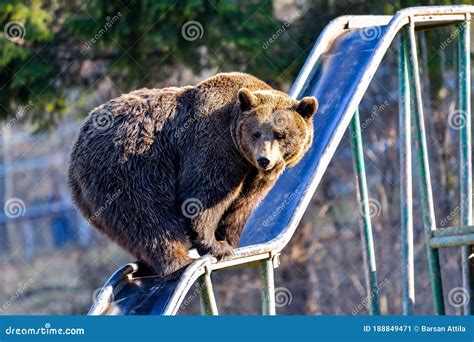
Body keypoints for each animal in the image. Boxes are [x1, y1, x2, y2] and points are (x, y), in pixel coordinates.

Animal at [67, 71, 318, 278]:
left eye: (280, 134)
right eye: (256, 133)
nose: (264, 159)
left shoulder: (257, 174)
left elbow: (245, 202)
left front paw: (230, 239)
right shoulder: (213, 143)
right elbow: (204, 194)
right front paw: (217, 246)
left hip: (91, 196)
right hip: (130, 169)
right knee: (148, 217)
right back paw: (176, 263)